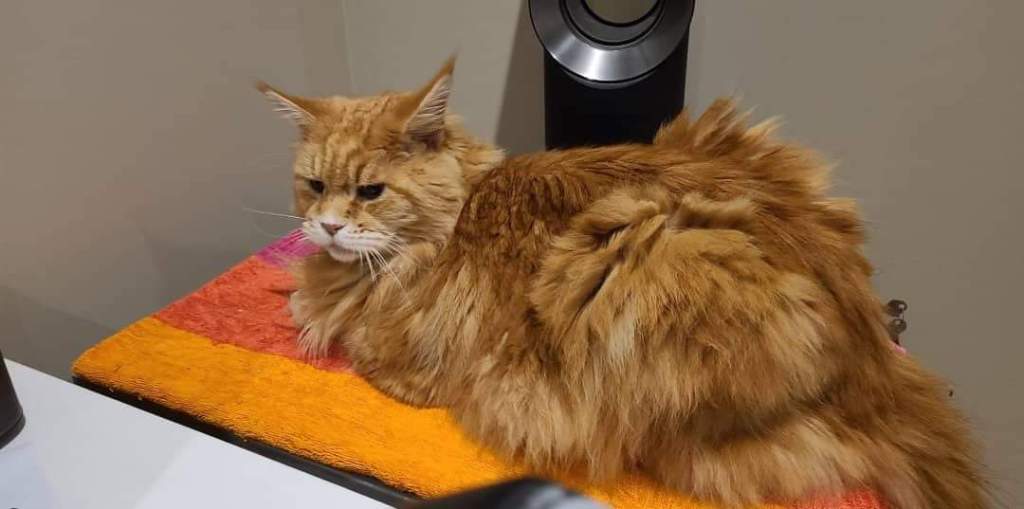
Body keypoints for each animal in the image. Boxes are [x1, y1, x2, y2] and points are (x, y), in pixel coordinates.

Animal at [258, 58, 987, 509]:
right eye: (314, 185)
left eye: (371, 192)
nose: (327, 225)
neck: (454, 219)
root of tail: (873, 352)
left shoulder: (407, 367)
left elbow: (357, 348)